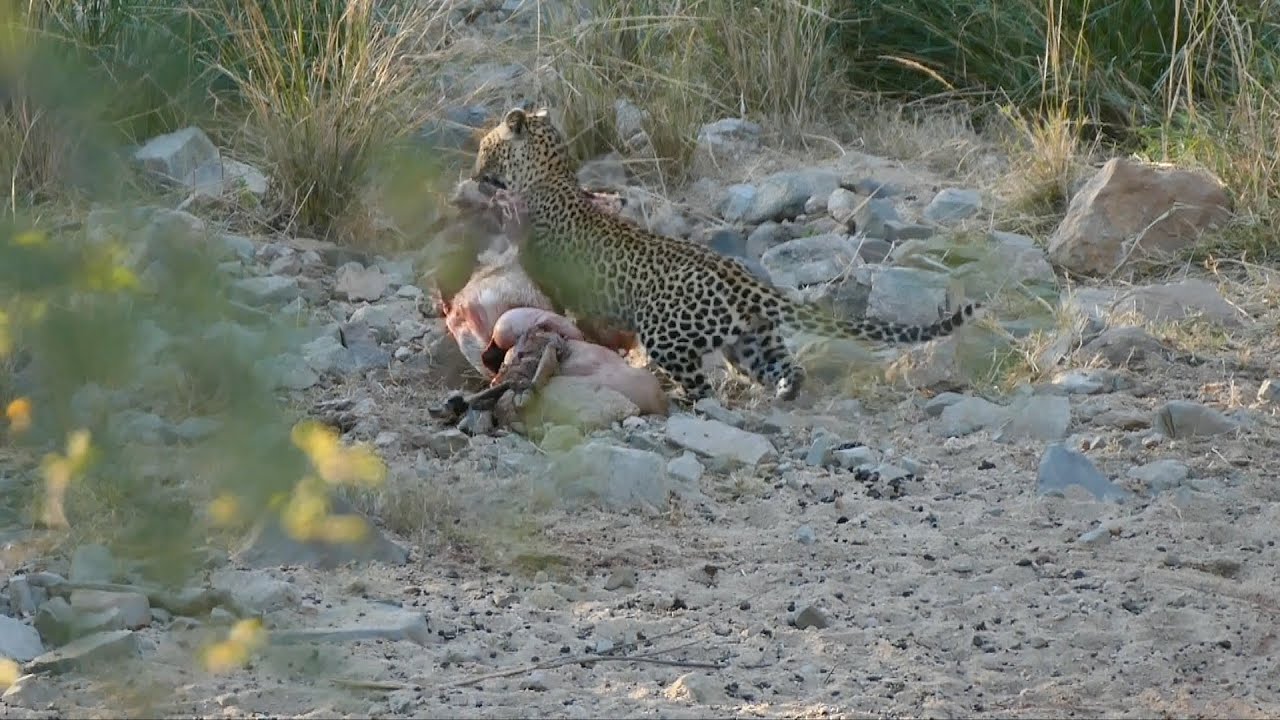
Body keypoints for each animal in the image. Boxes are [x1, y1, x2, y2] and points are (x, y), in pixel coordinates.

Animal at [471, 106, 983, 403]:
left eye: (485, 148)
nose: (474, 173)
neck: (550, 175)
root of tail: (744, 280)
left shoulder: (557, 285)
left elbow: (567, 314)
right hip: (752, 340)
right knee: (783, 367)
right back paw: (785, 392)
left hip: (668, 335)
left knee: (701, 385)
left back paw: (685, 399)